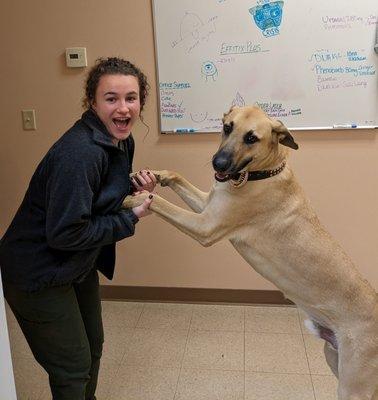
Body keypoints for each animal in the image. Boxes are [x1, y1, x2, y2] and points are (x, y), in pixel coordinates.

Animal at [125, 106, 378, 400]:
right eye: (226, 127)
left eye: (251, 138)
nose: (218, 164)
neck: (262, 172)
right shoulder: (207, 207)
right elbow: (178, 177)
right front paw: (155, 175)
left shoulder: (205, 226)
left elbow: (159, 202)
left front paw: (134, 199)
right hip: (333, 358)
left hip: (354, 385)